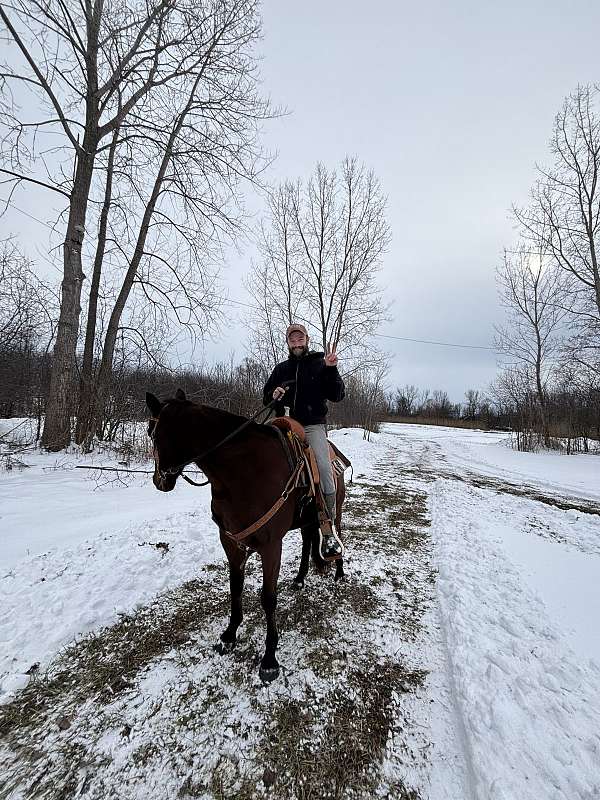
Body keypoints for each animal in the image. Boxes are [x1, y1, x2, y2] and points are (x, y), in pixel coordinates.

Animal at [145, 389, 347, 681]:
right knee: (308, 540)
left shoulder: (271, 546)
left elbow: (268, 598)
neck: (243, 473)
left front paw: (270, 659)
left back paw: (338, 570)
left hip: (335, 509)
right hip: (306, 518)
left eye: (152, 432)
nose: (159, 481)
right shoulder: (230, 541)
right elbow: (235, 587)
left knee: (335, 530)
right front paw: (229, 635)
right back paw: (300, 579)